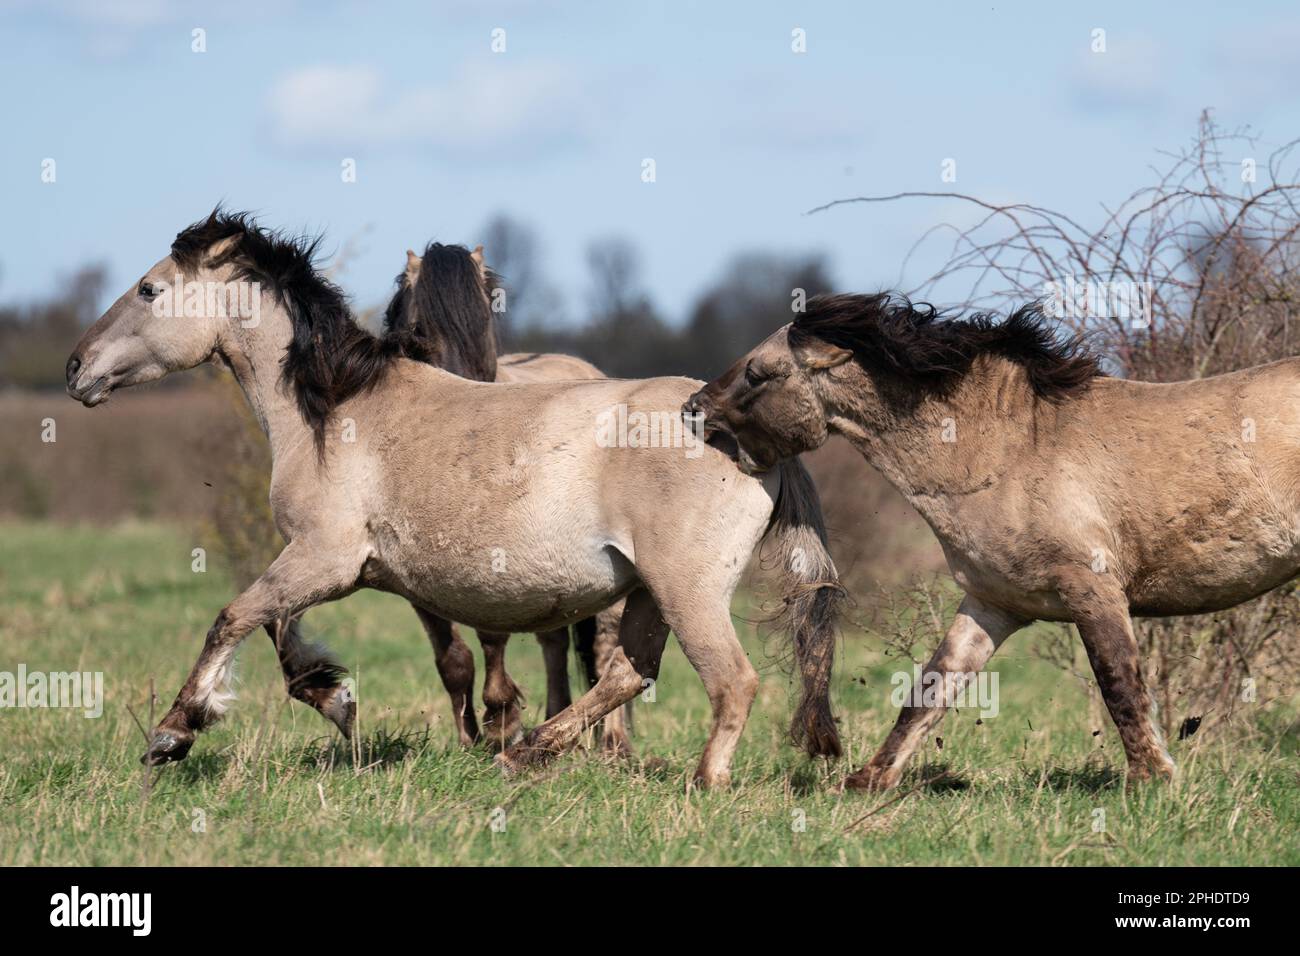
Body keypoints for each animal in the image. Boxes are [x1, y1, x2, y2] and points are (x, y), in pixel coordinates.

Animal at [65, 209, 842, 785]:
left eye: (148, 290)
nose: (75, 368)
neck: (335, 413)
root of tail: (736, 428)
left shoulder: (325, 559)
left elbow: (232, 618)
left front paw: (174, 734)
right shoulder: (332, 567)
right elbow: (276, 630)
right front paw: (335, 698)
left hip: (688, 590)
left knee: (731, 682)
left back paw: (700, 781)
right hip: (649, 590)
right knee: (627, 673)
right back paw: (526, 752)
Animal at [686, 291, 1300, 790]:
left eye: (758, 373)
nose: (694, 413)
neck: (1007, 449)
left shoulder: (1092, 589)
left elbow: (1119, 683)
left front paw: (1153, 780)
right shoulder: (992, 603)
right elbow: (929, 692)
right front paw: (867, 781)